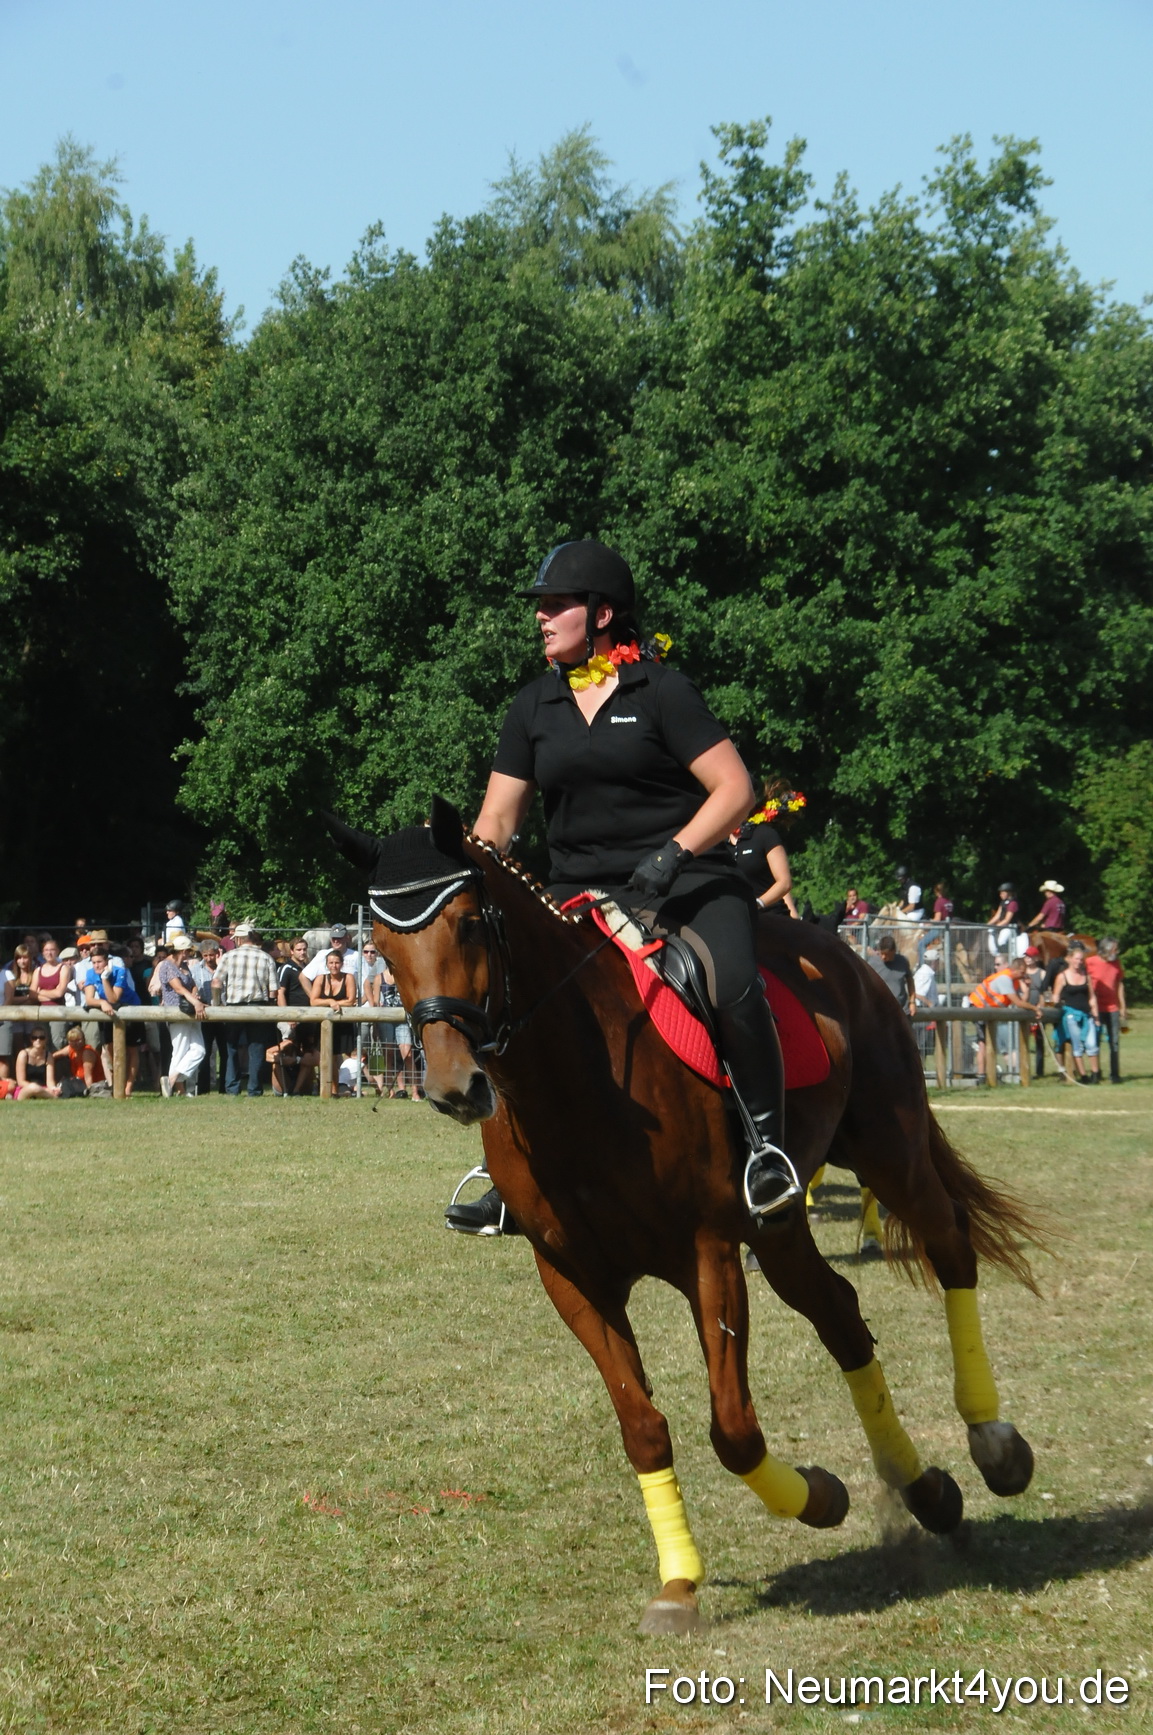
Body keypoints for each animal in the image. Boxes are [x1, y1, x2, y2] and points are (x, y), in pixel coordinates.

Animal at [325, 800, 1041, 1635]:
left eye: (470, 924)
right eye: (381, 947)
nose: (452, 1085)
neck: (575, 1075)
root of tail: (848, 959)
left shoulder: (709, 1252)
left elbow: (732, 1430)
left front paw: (817, 1498)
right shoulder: (572, 1276)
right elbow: (642, 1427)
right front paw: (683, 1577)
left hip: (888, 1149)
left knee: (949, 1246)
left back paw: (992, 1443)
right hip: (779, 1229)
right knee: (840, 1315)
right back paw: (924, 1489)